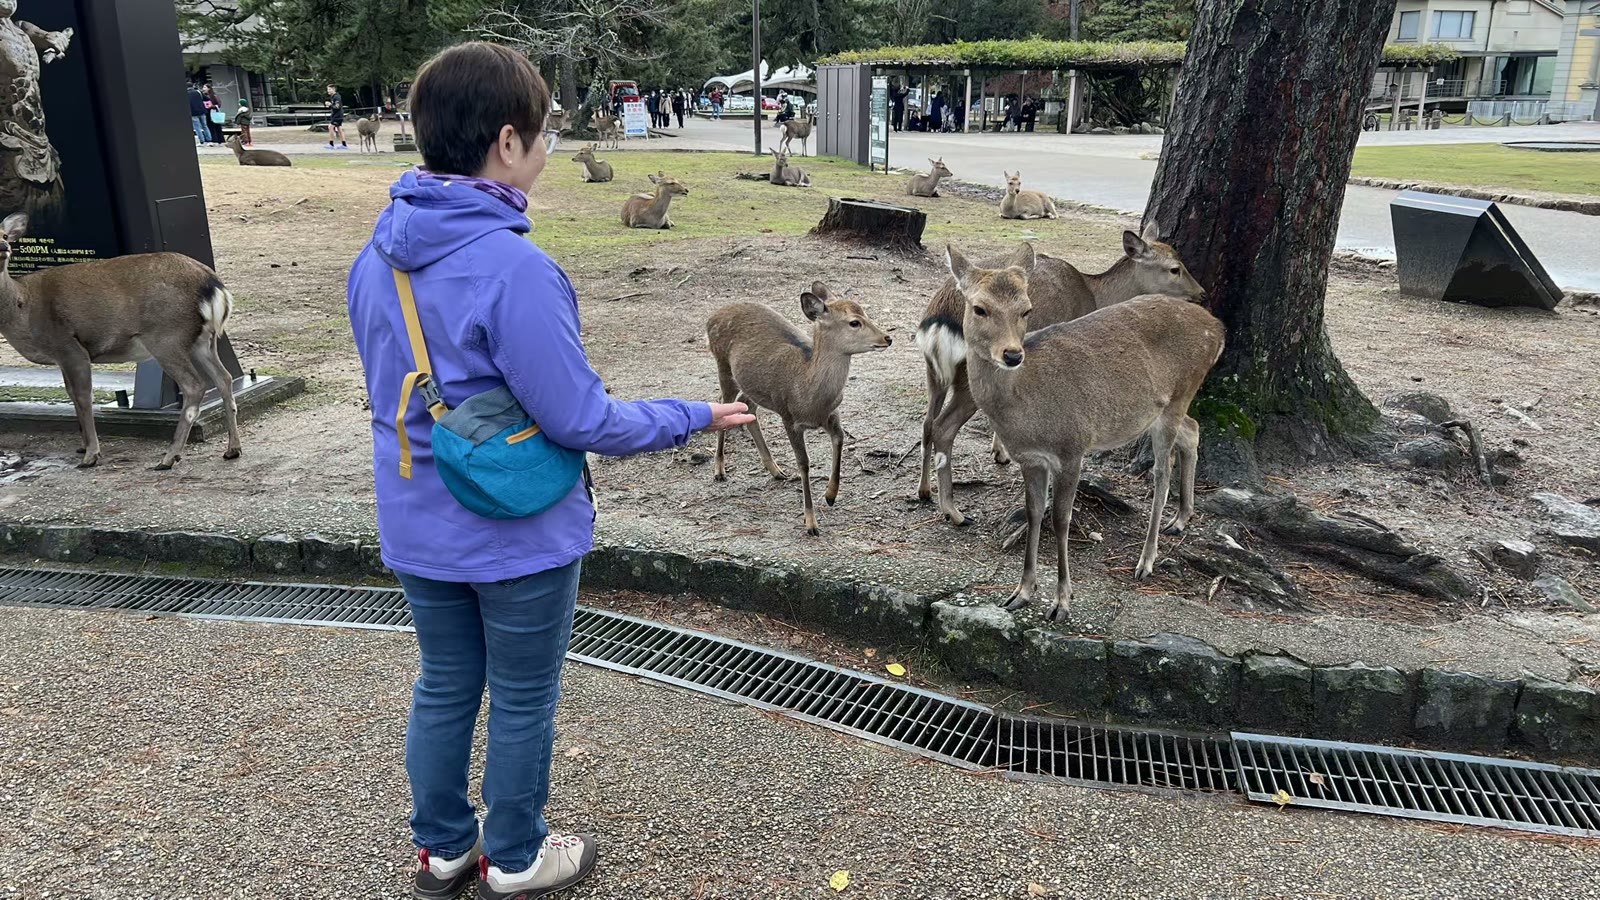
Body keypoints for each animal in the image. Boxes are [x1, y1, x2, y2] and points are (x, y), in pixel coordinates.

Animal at [0, 213, 242, 470]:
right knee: (224, 378)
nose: (4, 246)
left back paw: (169, 457)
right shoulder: (61, 357)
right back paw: (232, 449)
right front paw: (83, 447)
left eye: (4, 235)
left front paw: (91, 455)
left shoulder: (69, 346)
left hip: (166, 337)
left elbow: (83, 396)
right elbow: (71, 394)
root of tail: (214, 287)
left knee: (194, 385)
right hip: (203, 341)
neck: (23, 308)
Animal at [706, 283, 892, 535]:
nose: (887, 337)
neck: (809, 399)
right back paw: (719, 470)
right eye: (855, 322)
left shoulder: (832, 413)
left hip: (752, 386)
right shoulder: (789, 417)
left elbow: (840, 439)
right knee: (723, 402)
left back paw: (776, 470)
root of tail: (711, 317)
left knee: (748, 405)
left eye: (865, 312)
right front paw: (811, 523)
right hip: (724, 366)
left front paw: (830, 495)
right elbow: (803, 463)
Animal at [915, 222, 1206, 513]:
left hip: (932, 370)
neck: (1094, 292)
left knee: (927, 422)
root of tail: (939, 318)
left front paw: (1000, 452)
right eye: (1174, 268)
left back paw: (924, 490)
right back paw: (952, 510)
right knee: (943, 426)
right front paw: (1003, 453)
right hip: (969, 375)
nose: (1201, 293)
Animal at [934, 244, 1224, 621]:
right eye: (979, 308)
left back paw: (1146, 560)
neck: (1026, 413)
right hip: (1163, 408)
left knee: (1163, 471)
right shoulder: (1030, 458)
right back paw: (1181, 518)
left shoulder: (1072, 448)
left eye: (1027, 309)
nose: (1012, 354)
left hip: (1179, 394)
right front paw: (1021, 592)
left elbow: (1060, 519)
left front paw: (1062, 602)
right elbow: (1033, 512)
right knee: (1193, 429)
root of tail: (1218, 330)